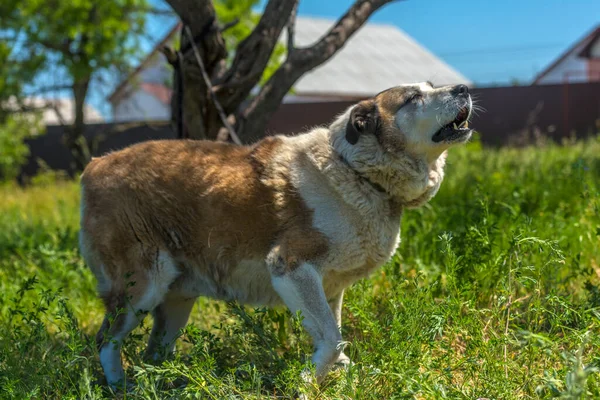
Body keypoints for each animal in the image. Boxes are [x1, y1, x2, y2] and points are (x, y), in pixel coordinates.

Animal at [79, 82, 474, 388]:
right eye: (413, 97)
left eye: (430, 85)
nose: (463, 88)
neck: (357, 171)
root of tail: (94, 166)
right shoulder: (291, 268)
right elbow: (333, 341)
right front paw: (305, 383)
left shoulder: (330, 290)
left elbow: (338, 341)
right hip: (142, 286)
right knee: (106, 341)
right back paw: (120, 387)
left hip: (176, 301)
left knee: (154, 352)